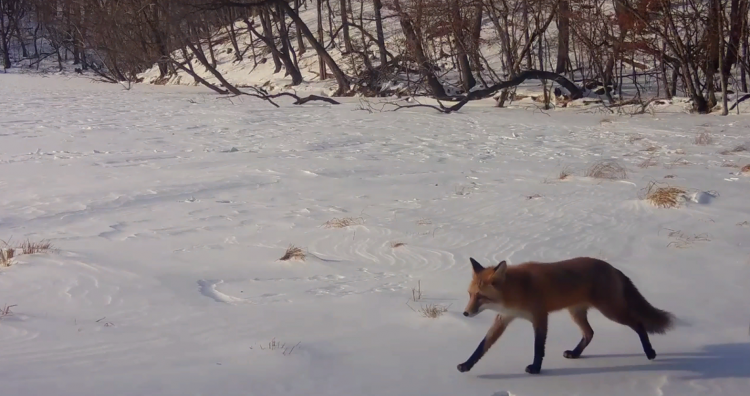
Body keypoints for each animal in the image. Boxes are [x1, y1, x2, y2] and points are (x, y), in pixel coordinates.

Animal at [456, 256, 680, 374]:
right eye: (470, 295)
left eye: (481, 297)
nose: (465, 313)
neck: (516, 291)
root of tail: (612, 267)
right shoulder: (504, 318)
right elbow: (482, 346)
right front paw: (466, 365)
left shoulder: (540, 317)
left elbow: (538, 347)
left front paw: (536, 368)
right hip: (577, 313)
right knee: (589, 333)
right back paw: (575, 353)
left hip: (612, 312)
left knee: (639, 323)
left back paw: (650, 352)